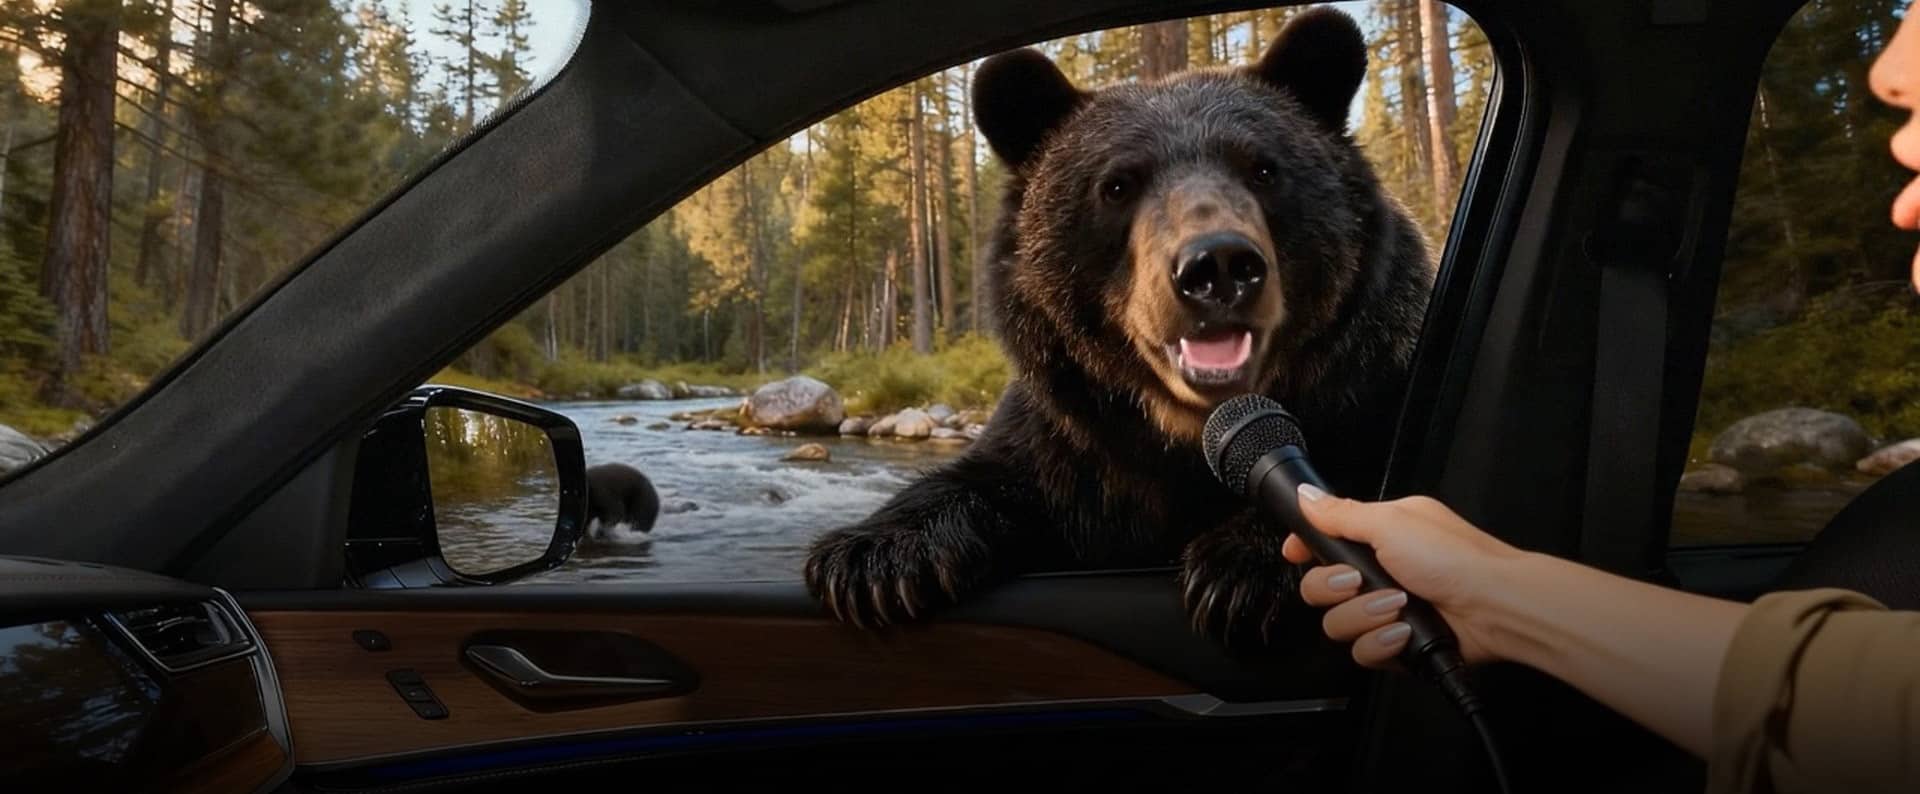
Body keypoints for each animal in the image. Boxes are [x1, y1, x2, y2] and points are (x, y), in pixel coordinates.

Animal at [803, 8, 1435, 646]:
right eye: (1116, 185)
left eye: (1263, 169)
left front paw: (1242, 568)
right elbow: (991, 477)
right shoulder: (1074, 445)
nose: (1218, 265)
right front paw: (870, 560)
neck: (1180, 432)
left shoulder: (1369, 383)